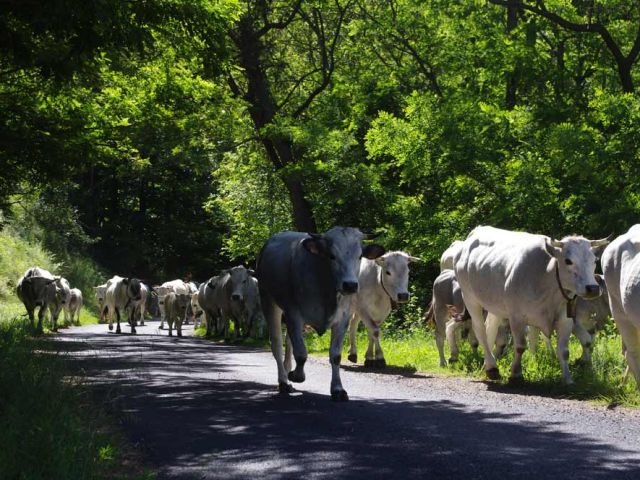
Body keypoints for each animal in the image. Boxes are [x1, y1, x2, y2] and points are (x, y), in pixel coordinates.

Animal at [255, 227, 384, 400]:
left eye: (359, 256)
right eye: (332, 256)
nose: (350, 285)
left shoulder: (343, 318)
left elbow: (335, 355)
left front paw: (338, 389)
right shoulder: (294, 314)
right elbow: (301, 353)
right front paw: (296, 375)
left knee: (288, 341)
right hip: (269, 301)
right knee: (277, 343)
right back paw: (283, 382)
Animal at [452, 227, 608, 384]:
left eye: (594, 260)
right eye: (568, 261)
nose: (593, 288)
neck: (547, 279)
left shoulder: (566, 319)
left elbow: (564, 351)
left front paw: (567, 379)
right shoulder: (516, 317)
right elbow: (520, 346)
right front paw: (516, 374)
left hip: (495, 305)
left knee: (491, 327)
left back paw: (488, 363)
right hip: (470, 298)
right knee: (480, 330)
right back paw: (492, 368)